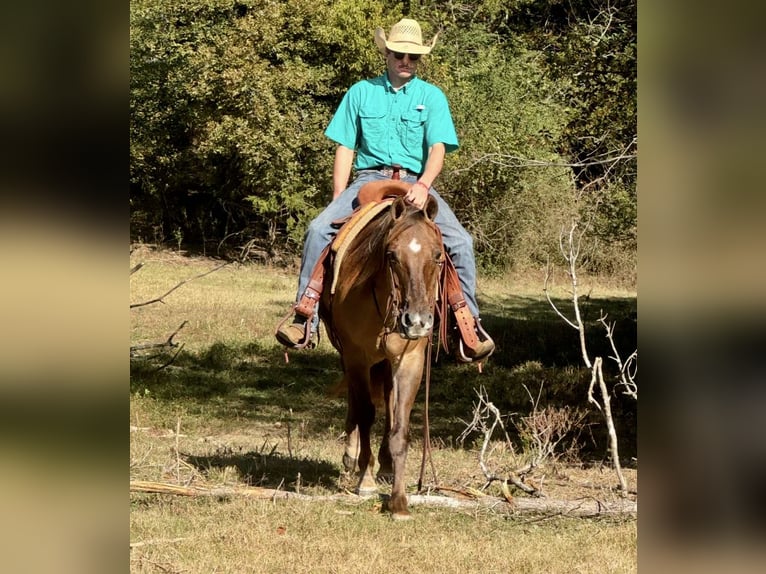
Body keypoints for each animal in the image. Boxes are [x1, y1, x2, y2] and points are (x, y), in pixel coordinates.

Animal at [319, 181, 444, 520]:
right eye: (391, 255)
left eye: (437, 255)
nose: (417, 321)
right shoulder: (356, 357)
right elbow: (365, 414)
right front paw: (366, 480)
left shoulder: (410, 359)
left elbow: (399, 426)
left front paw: (399, 501)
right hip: (350, 358)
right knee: (357, 403)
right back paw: (353, 459)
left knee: (387, 403)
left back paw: (386, 467)